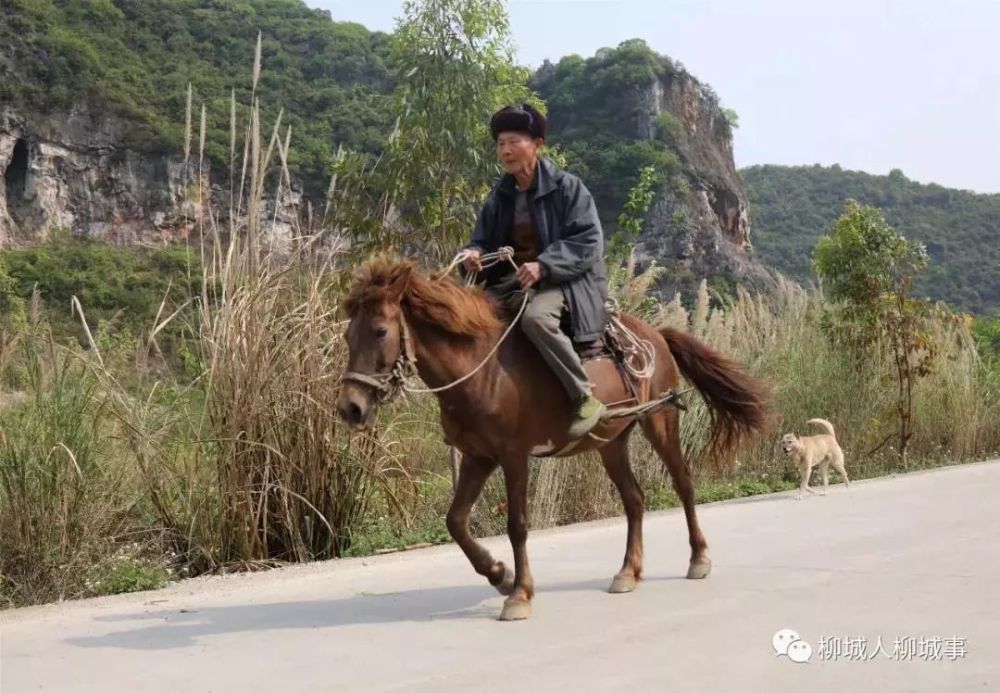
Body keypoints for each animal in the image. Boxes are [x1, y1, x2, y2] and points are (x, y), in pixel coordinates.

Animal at [336, 258, 770, 621]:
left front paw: (519, 594)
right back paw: (628, 572)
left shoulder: (513, 456)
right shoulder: (478, 457)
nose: (350, 408)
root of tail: (656, 334)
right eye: (347, 336)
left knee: (683, 483)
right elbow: (455, 521)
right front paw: (499, 574)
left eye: (381, 331)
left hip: (660, 421)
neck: (482, 368)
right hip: (612, 442)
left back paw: (699, 559)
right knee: (634, 499)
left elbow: (517, 524)